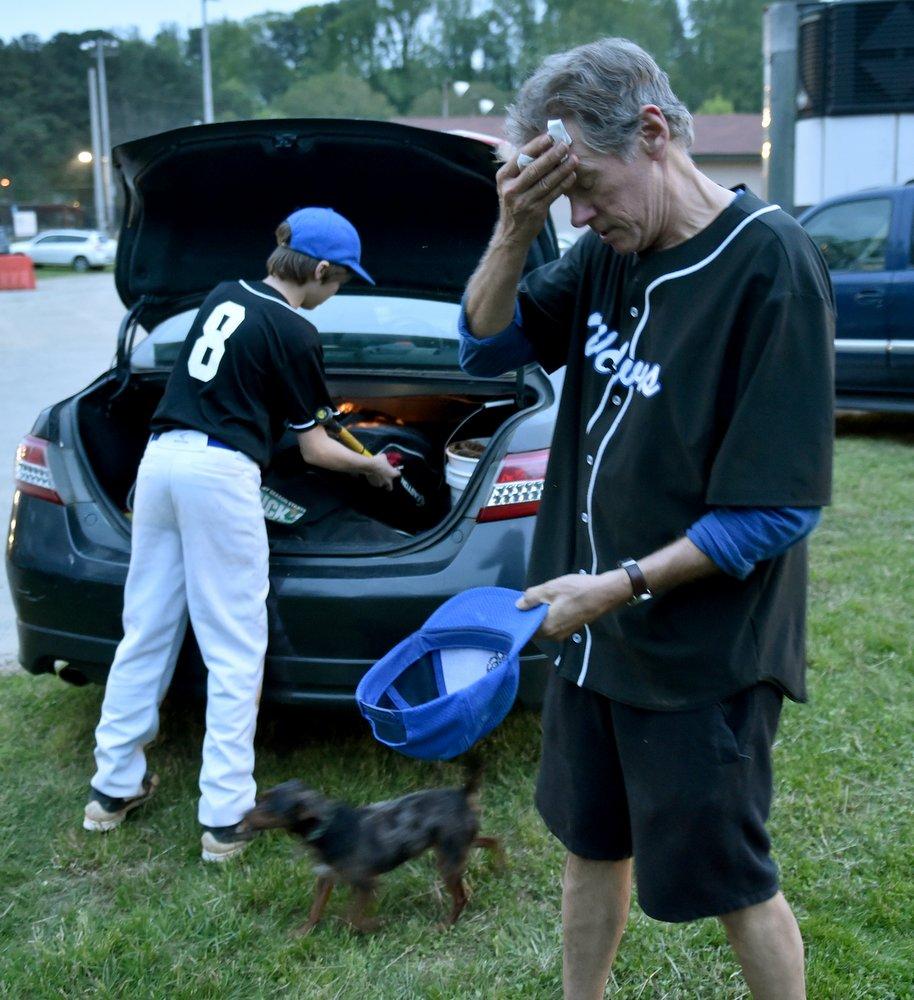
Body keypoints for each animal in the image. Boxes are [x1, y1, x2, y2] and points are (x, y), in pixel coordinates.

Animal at [240, 760, 498, 932]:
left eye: (268, 809)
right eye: (261, 799)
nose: (243, 816)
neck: (327, 828)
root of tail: (462, 794)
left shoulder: (366, 883)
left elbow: (352, 917)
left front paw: (372, 924)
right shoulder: (326, 877)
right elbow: (316, 909)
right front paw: (303, 932)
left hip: (448, 858)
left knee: (461, 897)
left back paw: (445, 924)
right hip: (455, 845)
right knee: (492, 839)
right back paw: (501, 865)